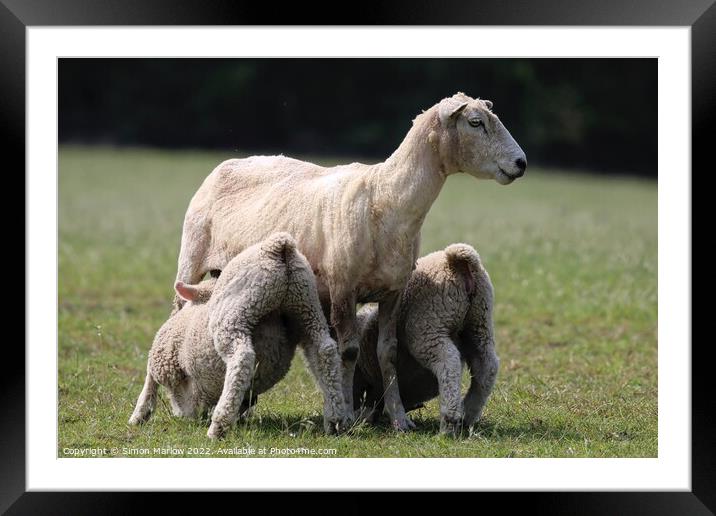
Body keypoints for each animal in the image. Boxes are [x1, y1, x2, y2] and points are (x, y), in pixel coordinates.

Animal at [133, 234, 352, 440]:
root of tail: (278, 245)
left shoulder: (164, 353)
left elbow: (151, 377)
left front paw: (139, 414)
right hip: (306, 305)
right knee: (324, 351)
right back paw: (335, 419)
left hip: (235, 313)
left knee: (242, 357)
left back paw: (219, 425)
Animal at [352, 245, 498, 436]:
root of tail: (457, 262)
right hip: (479, 322)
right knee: (487, 367)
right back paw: (468, 414)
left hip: (429, 326)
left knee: (449, 362)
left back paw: (449, 422)